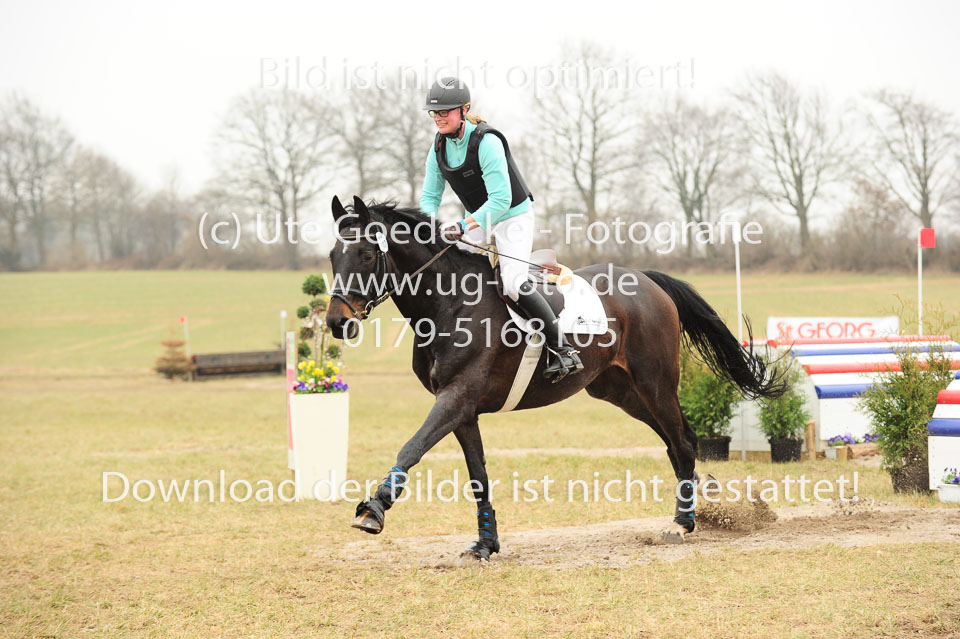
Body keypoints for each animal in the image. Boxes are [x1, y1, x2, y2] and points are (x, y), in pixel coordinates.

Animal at [325, 195, 785, 560]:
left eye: (366, 254)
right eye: (332, 255)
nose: (336, 322)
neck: (449, 303)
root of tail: (647, 278)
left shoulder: (455, 399)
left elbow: (412, 447)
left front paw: (374, 509)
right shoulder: (464, 410)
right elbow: (478, 477)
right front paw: (486, 544)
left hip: (654, 383)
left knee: (684, 440)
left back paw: (682, 522)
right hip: (618, 391)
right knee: (676, 441)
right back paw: (696, 504)